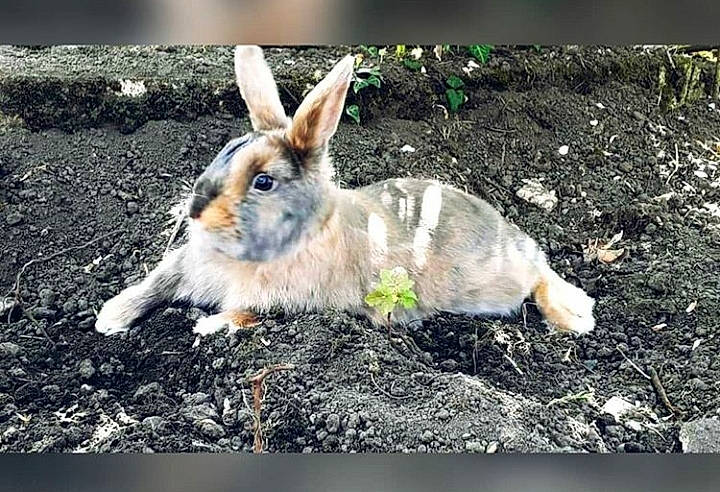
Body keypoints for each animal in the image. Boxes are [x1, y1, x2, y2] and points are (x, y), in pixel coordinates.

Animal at [95, 45, 595, 337]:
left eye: (263, 181)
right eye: (222, 151)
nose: (196, 213)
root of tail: (514, 236)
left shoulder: (291, 302)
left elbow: (247, 313)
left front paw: (208, 325)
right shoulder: (183, 268)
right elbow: (154, 284)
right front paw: (110, 317)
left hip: (503, 278)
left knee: (541, 276)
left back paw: (576, 316)